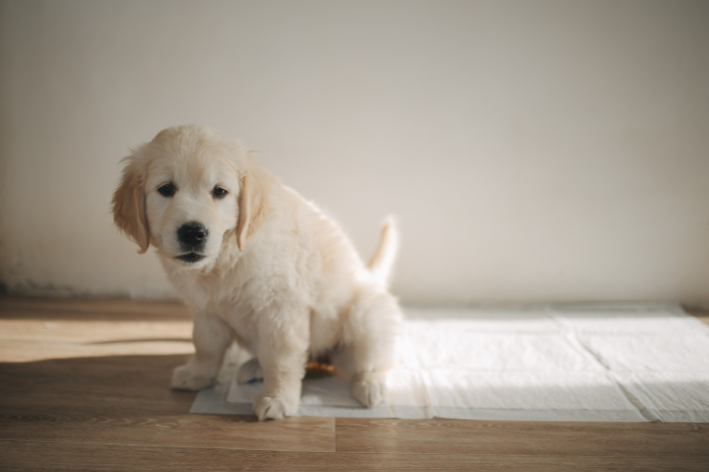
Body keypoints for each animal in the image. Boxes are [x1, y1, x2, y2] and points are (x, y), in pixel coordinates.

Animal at [113, 124, 404, 420]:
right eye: (166, 189)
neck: (225, 260)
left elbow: (280, 358)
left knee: (376, 361)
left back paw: (371, 385)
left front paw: (277, 398)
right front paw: (199, 374)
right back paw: (253, 367)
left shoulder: (281, 310)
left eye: (219, 191)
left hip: (364, 319)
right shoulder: (206, 310)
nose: (193, 233)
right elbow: (206, 345)